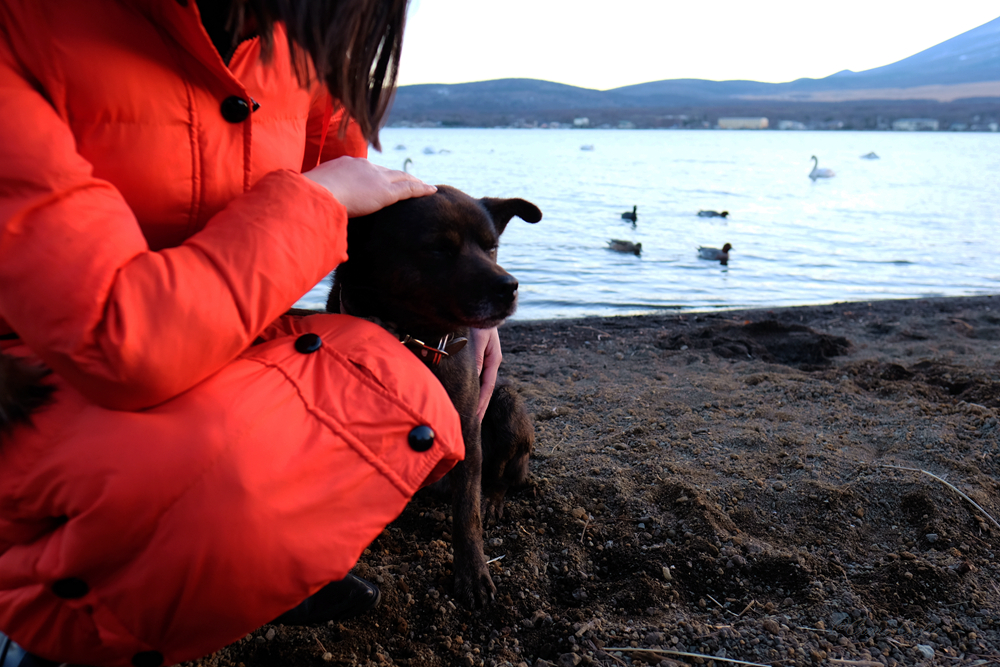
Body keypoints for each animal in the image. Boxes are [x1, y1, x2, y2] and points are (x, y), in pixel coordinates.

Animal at [330, 185, 544, 608]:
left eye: (491, 247)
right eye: (439, 248)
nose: (510, 287)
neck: (413, 339)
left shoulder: (466, 429)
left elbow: (467, 516)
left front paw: (473, 575)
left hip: (507, 405)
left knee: (500, 479)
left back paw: (492, 500)